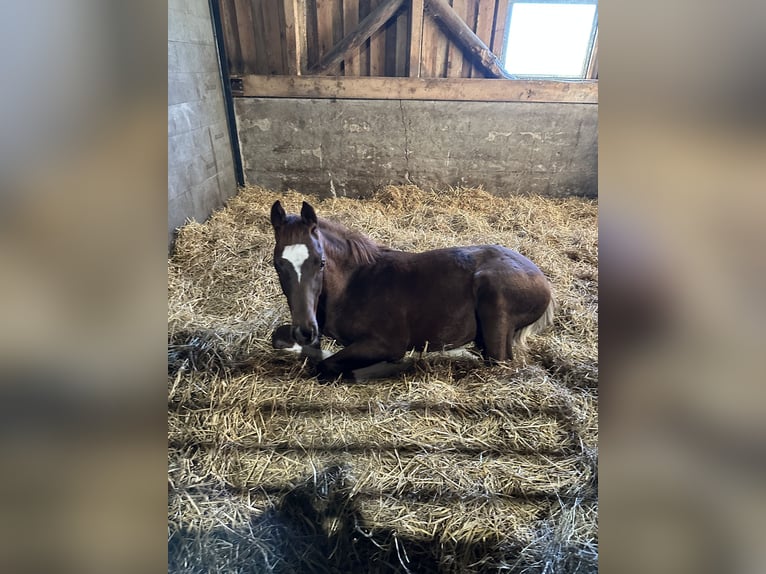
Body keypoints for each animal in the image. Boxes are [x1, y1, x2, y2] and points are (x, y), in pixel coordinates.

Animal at [269, 200, 554, 381]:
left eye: (321, 262)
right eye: (277, 264)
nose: (305, 331)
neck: (352, 285)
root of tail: (543, 281)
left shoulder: (387, 343)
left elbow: (326, 365)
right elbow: (280, 338)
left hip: (494, 305)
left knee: (499, 362)